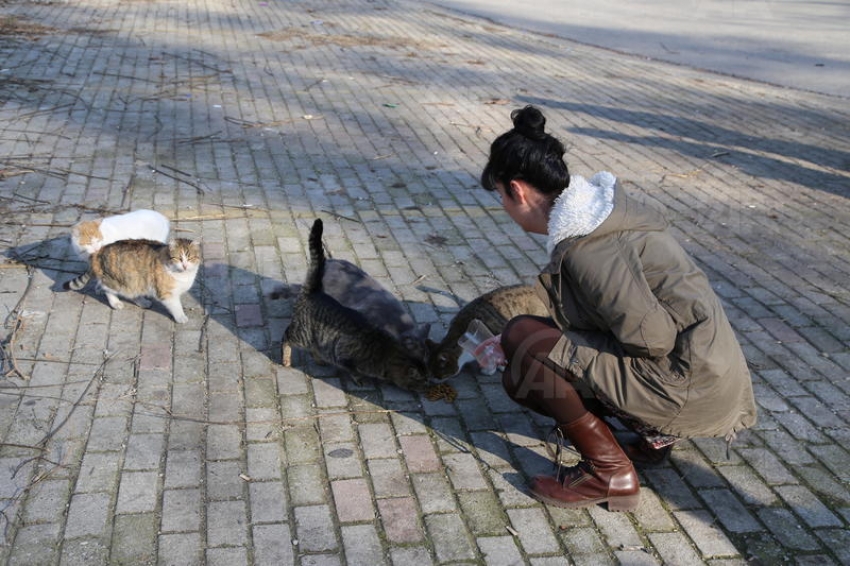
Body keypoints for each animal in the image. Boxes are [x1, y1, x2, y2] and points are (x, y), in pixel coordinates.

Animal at [282, 220, 430, 392]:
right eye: (423, 381)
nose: (430, 384)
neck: (387, 352)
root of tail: (315, 290)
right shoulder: (343, 356)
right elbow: (353, 371)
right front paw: (359, 379)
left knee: (314, 347)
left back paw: (319, 359)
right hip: (302, 334)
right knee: (286, 337)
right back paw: (286, 360)